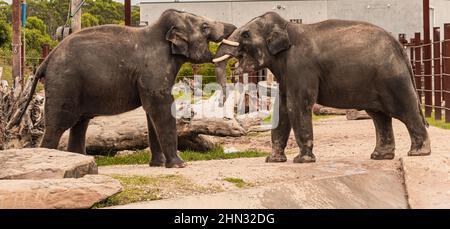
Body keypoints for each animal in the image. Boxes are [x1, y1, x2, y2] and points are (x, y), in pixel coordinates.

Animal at [18, 9, 236, 167]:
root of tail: (45, 62)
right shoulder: (154, 69)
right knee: (58, 126)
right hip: (63, 85)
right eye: (205, 27)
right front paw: (179, 165)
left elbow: (151, 112)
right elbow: (161, 107)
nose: (233, 27)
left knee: (80, 124)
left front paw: (157, 165)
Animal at [214, 12, 432, 163]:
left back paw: (418, 153)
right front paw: (273, 161)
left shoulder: (300, 67)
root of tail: (400, 46)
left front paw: (302, 161)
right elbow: (281, 108)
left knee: (405, 110)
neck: (287, 26)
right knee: (379, 116)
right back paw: (380, 156)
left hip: (392, 78)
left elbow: (297, 105)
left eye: (245, 34)